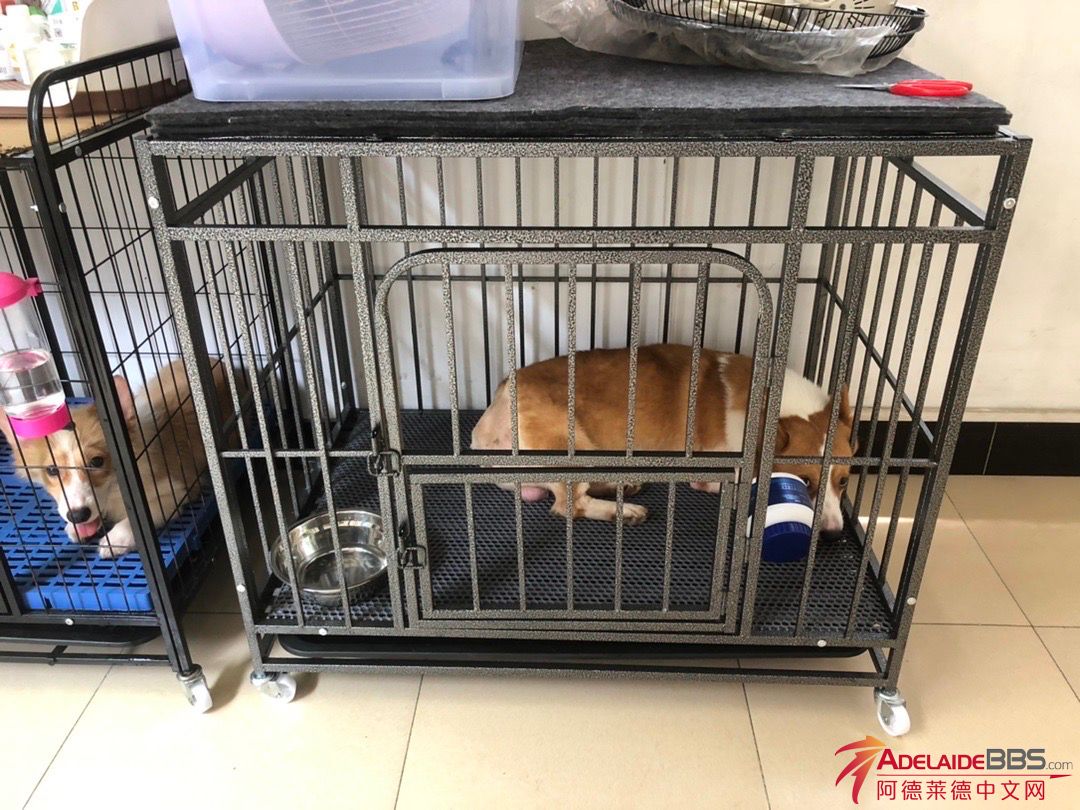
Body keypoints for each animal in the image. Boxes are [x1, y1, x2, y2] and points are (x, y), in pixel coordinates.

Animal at [0, 358, 239, 559]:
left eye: (96, 462)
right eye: (51, 470)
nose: (77, 516)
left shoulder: (177, 490)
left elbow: (141, 518)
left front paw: (114, 540)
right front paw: (75, 528)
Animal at [470, 345, 856, 532]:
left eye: (845, 482)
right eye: (804, 480)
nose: (833, 533)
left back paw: (623, 487)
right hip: (569, 443)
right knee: (569, 504)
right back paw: (624, 512)